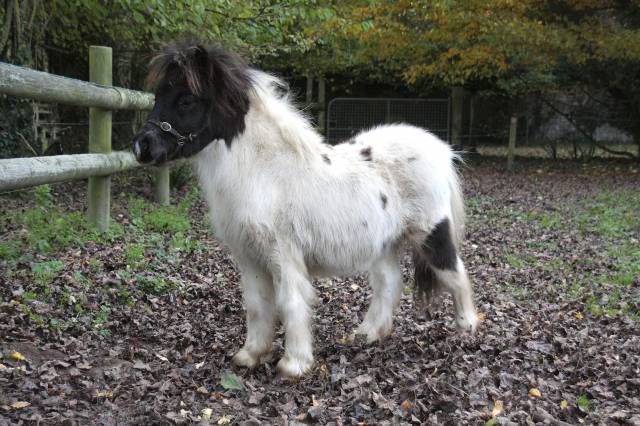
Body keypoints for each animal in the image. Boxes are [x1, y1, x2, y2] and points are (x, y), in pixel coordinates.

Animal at [131, 42, 480, 376]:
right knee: (388, 286)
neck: (266, 173)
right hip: (384, 246)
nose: (142, 147)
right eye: (159, 95)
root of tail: (439, 150)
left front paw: (294, 364)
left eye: (186, 100)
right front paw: (250, 355)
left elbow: (290, 302)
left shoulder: (283, 254)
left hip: (431, 234)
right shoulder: (250, 257)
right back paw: (367, 334)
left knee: (455, 274)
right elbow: (257, 305)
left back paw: (467, 328)